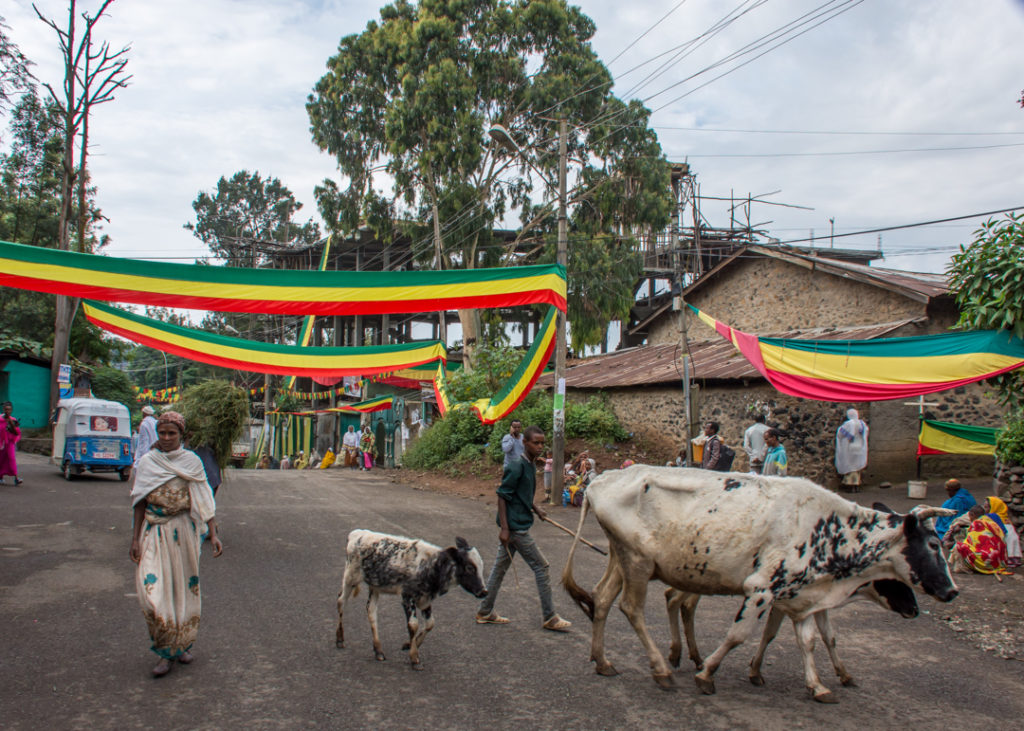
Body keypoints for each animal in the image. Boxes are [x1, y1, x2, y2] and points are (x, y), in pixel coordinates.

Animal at [557, 466, 954, 700]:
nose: (952, 591)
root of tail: (600, 480)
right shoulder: (761, 589)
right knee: (632, 608)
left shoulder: (799, 596)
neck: (827, 528)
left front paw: (819, 684)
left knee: (602, 599)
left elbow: (810, 639)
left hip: (623, 558)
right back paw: (662, 669)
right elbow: (739, 635)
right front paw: (707, 674)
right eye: (934, 545)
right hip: (638, 562)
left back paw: (603, 661)